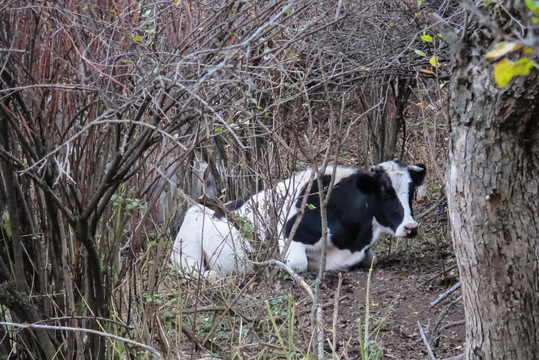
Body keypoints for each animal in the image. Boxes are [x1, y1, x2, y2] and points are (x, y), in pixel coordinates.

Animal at [171, 161, 428, 278]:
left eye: (411, 191)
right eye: (385, 191)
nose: (411, 227)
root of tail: (197, 206)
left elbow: (372, 259)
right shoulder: (289, 240)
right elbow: (298, 264)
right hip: (187, 252)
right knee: (196, 272)